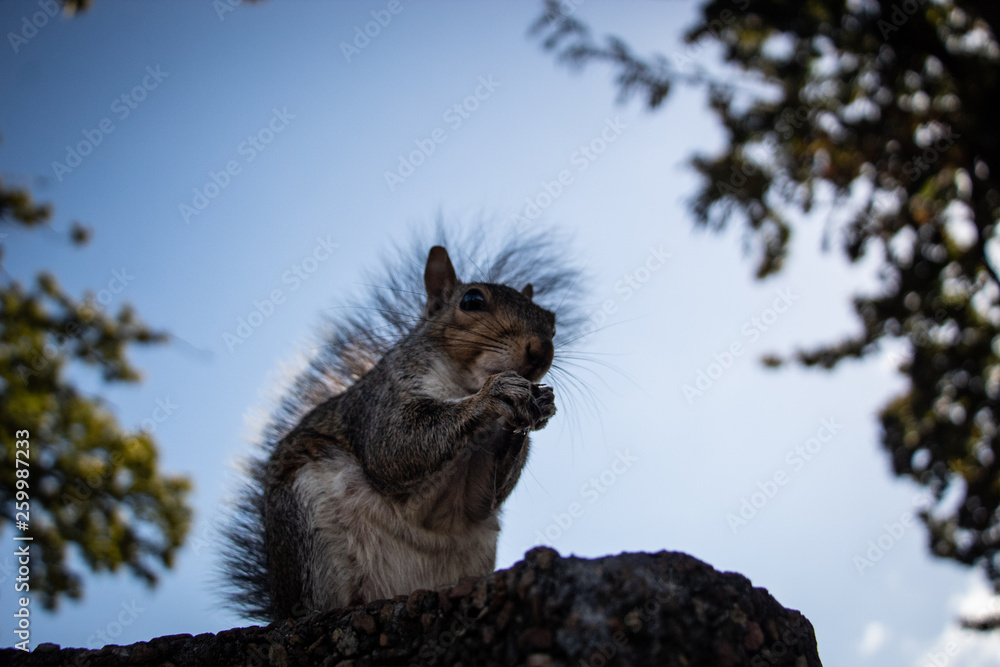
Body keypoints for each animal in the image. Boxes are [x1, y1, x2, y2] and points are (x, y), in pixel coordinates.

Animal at [220, 228, 584, 621]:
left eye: (551, 320)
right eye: (472, 300)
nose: (541, 351)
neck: (463, 383)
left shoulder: (473, 491)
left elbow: (481, 498)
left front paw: (536, 408)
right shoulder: (383, 400)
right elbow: (394, 445)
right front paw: (493, 395)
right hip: (309, 528)